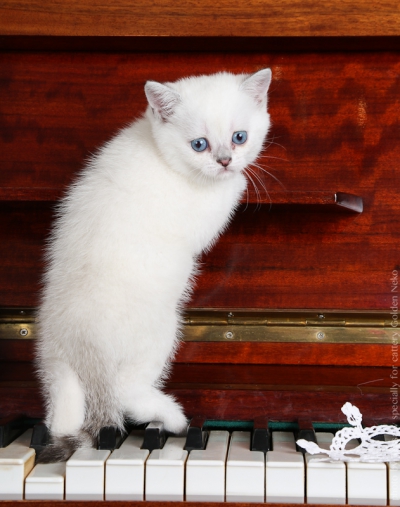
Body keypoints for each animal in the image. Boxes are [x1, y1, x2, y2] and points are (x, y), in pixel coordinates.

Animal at [36, 68, 272, 464]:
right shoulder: (201, 217)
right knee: (125, 391)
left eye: (239, 137)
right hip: (161, 330)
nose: (225, 160)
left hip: (55, 362)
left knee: (61, 416)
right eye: (199, 145)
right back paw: (173, 418)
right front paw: (239, 180)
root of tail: (84, 348)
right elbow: (230, 193)